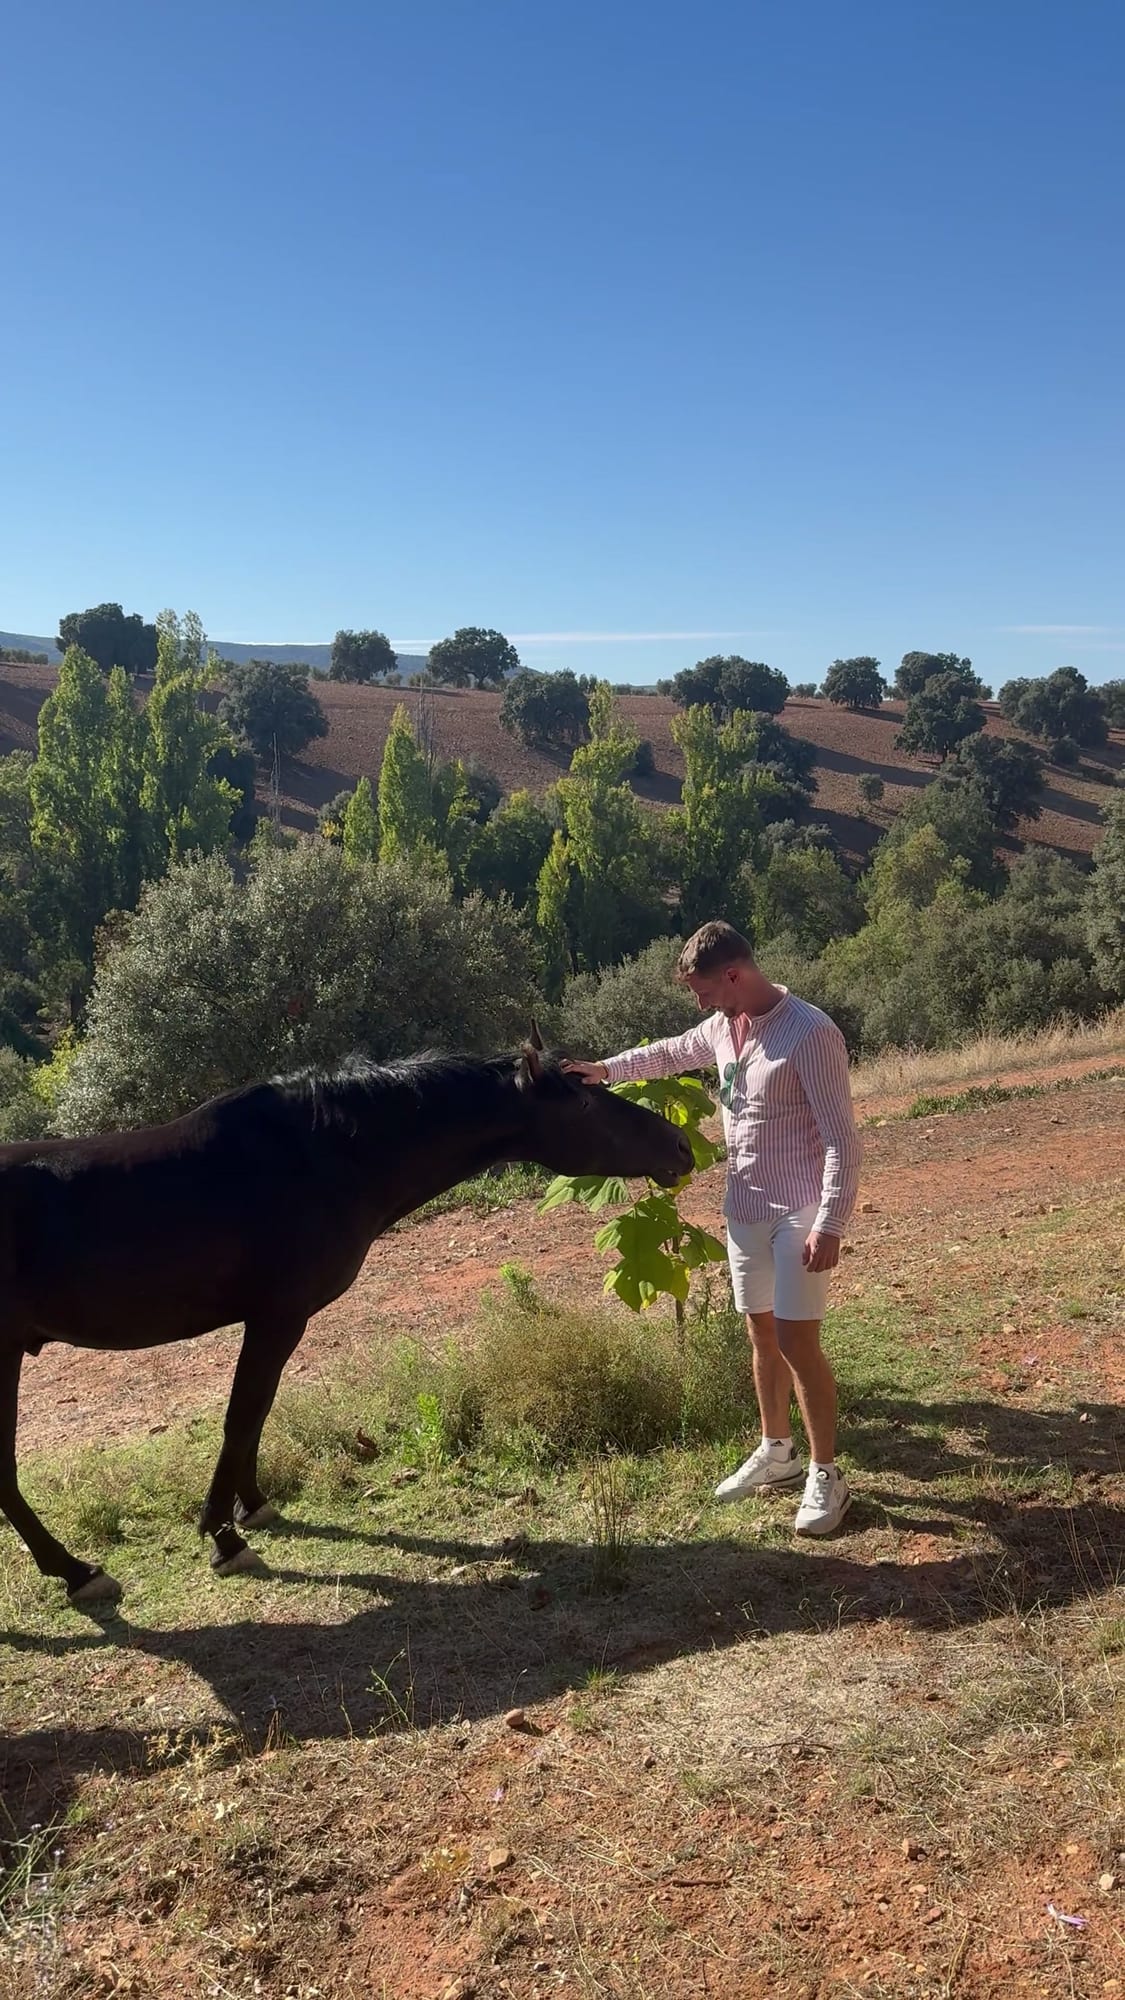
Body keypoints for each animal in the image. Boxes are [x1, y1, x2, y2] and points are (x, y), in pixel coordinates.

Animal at [0, 1031, 692, 1605]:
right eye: (583, 1107)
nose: (681, 1146)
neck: (320, 1155)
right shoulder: (277, 1317)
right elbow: (242, 1417)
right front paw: (224, 1536)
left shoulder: (277, 1323)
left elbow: (255, 1417)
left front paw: (253, 1509)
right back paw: (78, 1572)